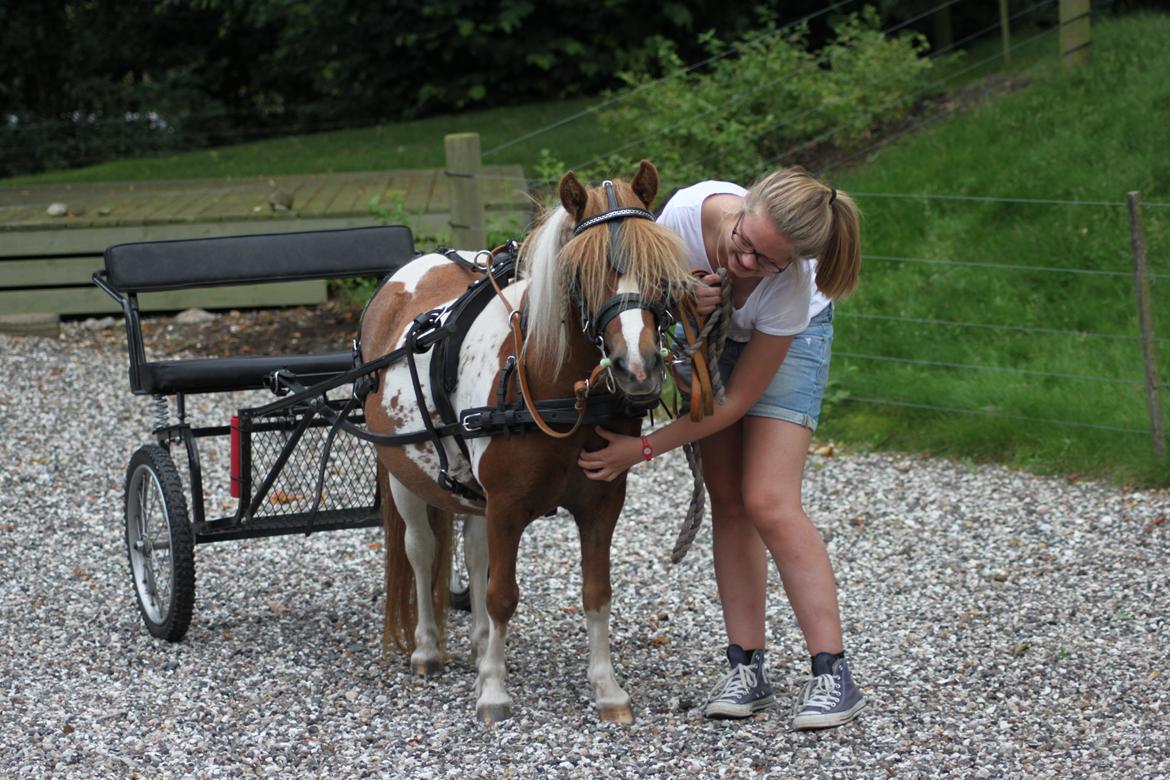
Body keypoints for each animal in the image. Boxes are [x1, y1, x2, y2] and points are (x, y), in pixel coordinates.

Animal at [360, 160, 687, 725]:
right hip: (404, 473)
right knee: (421, 551)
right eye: (580, 273)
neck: (548, 386)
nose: (638, 368)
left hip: (471, 492)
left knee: (471, 552)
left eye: (658, 268)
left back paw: (478, 644)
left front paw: (607, 689)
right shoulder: (507, 505)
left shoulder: (602, 504)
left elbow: (595, 593)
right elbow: (501, 595)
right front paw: (493, 691)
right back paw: (428, 647)